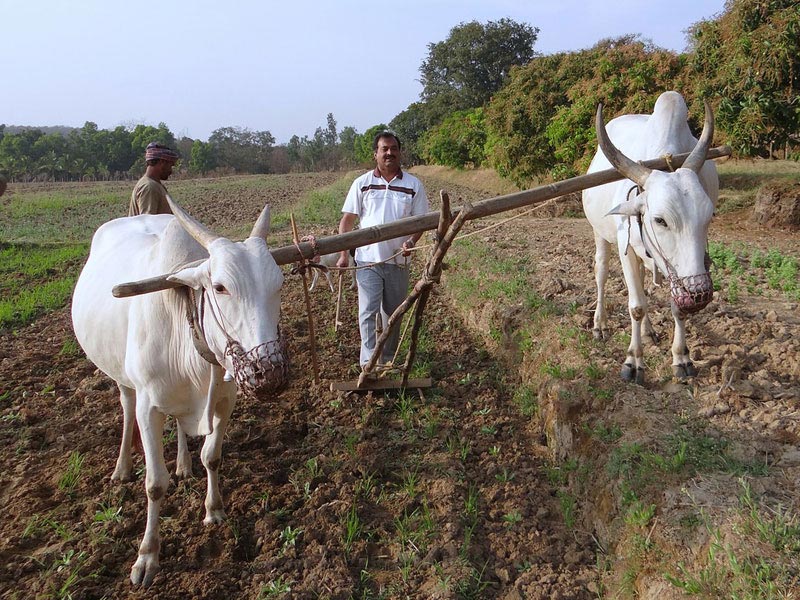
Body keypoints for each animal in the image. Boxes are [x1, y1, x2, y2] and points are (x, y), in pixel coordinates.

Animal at [71, 196, 289, 586]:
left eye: (279, 282)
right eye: (220, 287)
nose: (271, 372)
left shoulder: (225, 399)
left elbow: (211, 456)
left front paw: (213, 509)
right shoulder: (149, 408)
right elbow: (155, 484)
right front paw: (147, 555)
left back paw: (184, 464)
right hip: (122, 379)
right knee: (126, 407)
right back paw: (122, 467)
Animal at [582, 91, 718, 384]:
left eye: (708, 216)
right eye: (660, 220)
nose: (700, 294)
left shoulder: (677, 270)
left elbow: (676, 307)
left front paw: (682, 357)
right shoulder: (627, 252)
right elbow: (636, 306)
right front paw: (633, 361)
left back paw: (648, 331)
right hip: (600, 234)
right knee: (601, 273)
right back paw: (600, 324)